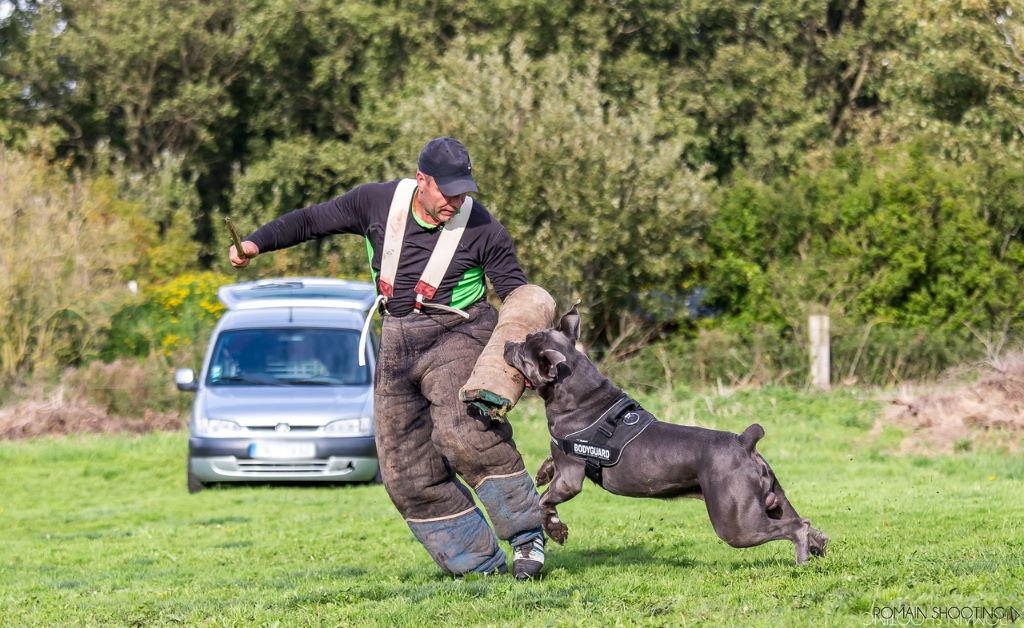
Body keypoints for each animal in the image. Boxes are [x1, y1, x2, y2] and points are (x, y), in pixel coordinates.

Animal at [502, 304, 828, 564]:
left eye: (524, 349)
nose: (506, 343)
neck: (581, 396)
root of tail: (744, 442)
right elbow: (548, 468)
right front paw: (543, 472)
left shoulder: (570, 479)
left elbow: (544, 502)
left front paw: (557, 530)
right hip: (774, 499)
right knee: (805, 522)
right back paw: (819, 546)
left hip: (736, 522)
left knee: (795, 527)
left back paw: (801, 560)